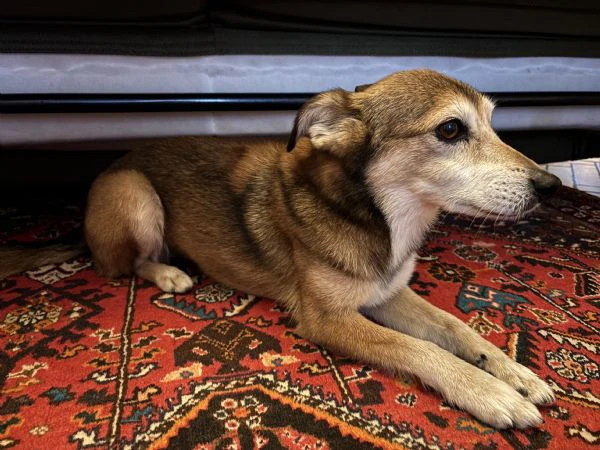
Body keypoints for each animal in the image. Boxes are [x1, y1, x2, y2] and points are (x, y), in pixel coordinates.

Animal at [3, 68, 564, 428]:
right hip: (134, 195)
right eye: (450, 129)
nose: (552, 185)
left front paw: (514, 374)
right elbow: (421, 349)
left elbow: (456, 328)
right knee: (121, 265)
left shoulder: (386, 293)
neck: (381, 218)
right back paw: (169, 273)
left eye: (493, 123)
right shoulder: (328, 318)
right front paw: (490, 394)